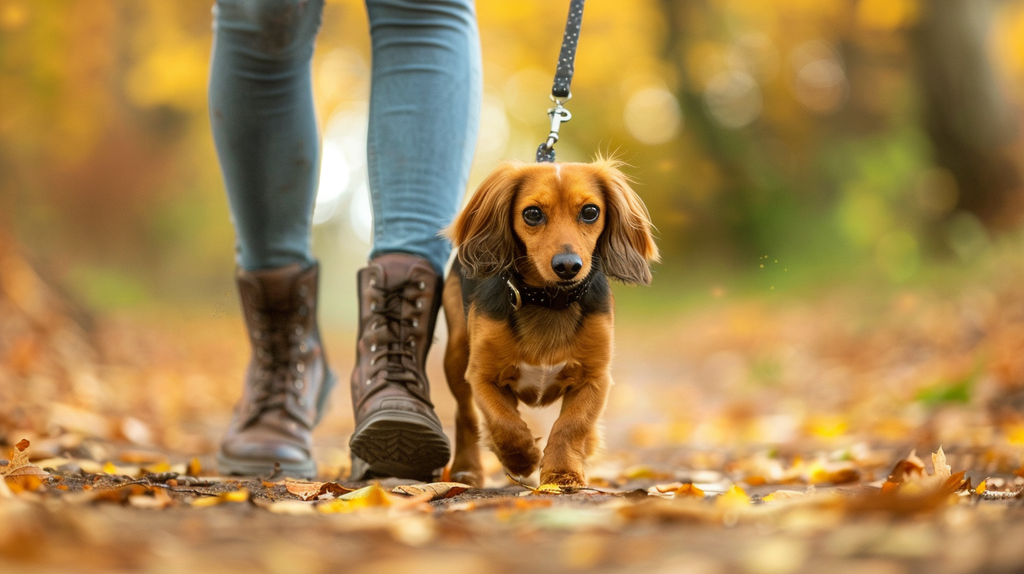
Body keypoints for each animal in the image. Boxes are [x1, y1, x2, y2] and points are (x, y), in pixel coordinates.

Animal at [444, 158, 659, 484]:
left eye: (590, 211)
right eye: (532, 214)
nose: (568, 266)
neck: (549, 301)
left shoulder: (594, 378)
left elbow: (571, 425)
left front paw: (562, 473)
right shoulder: (482, 375)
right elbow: (503, 421)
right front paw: (521, 458)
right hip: (456, 353)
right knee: (465, 413)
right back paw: (466, 469)